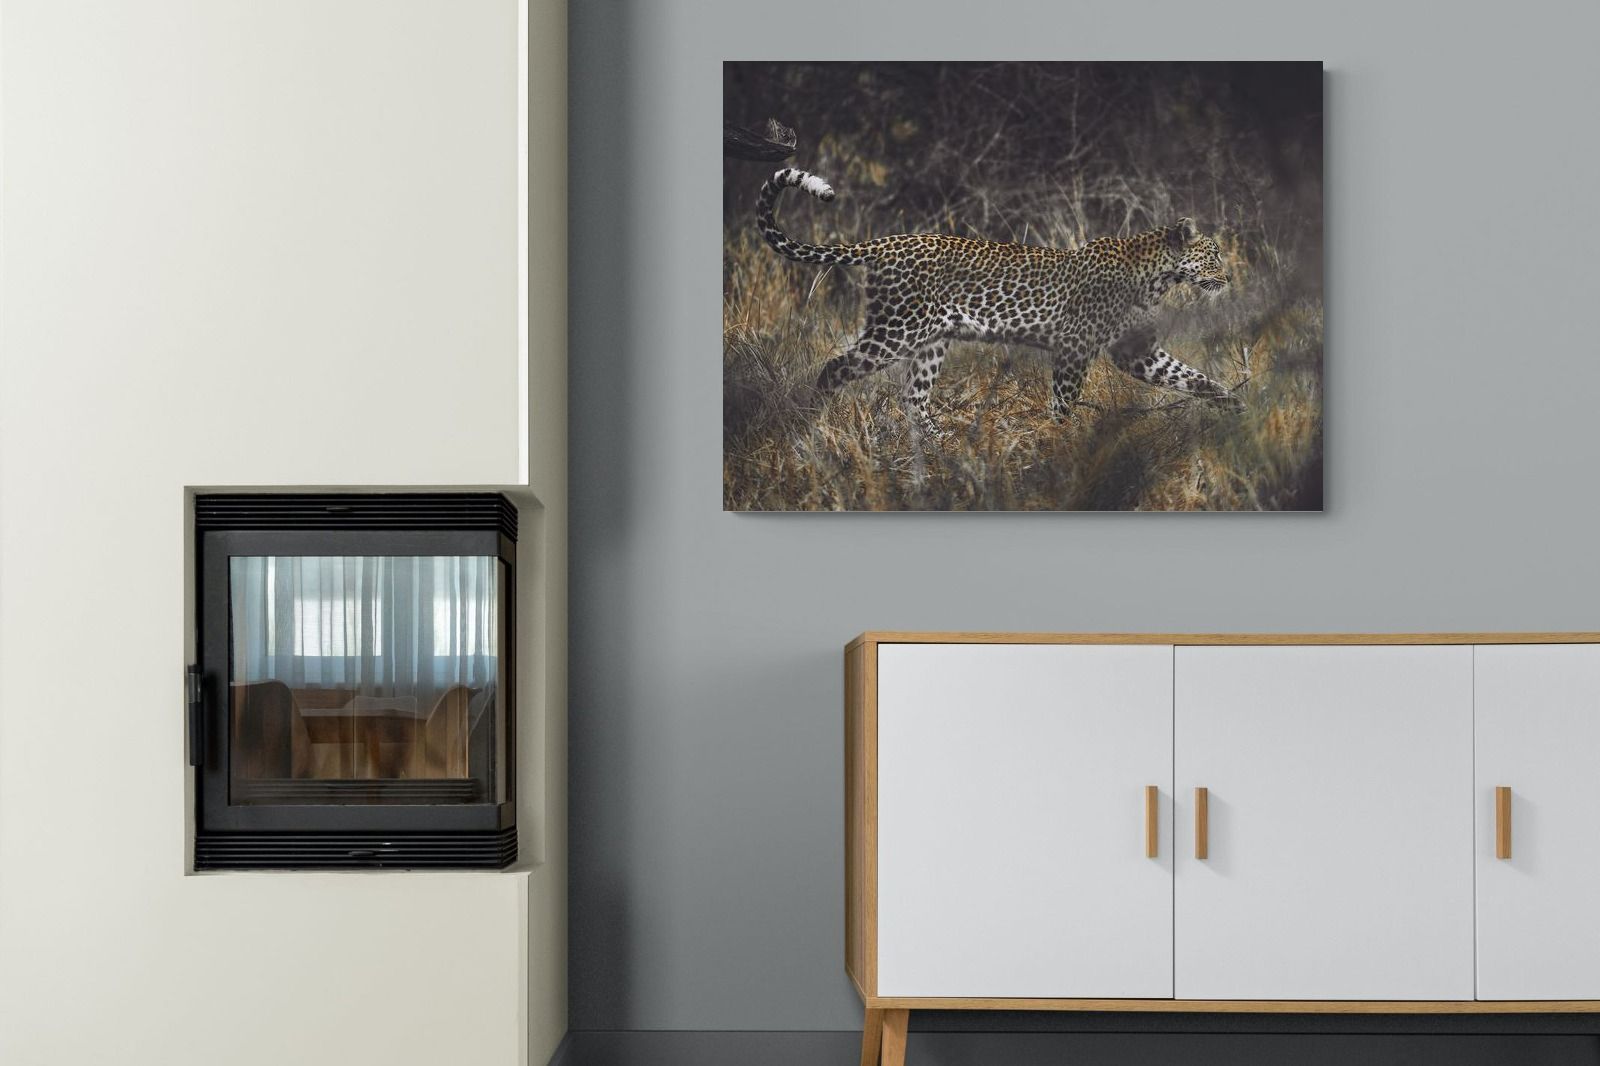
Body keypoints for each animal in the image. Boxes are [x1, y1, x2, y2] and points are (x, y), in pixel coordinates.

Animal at [755, 167, 1240, 426]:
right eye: (1214, 254)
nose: (1230, 278)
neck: (1156, 276)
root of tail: (885, 242)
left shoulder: (1135, 352)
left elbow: (1190, 376)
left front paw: (1235, 405)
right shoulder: (1074, 346)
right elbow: (1063, 400)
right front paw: (1061, 442)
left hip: (931, 341)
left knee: (913, 399)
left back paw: (940, 446)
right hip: (896, 330)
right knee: (834, 369)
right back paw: (811, 423)